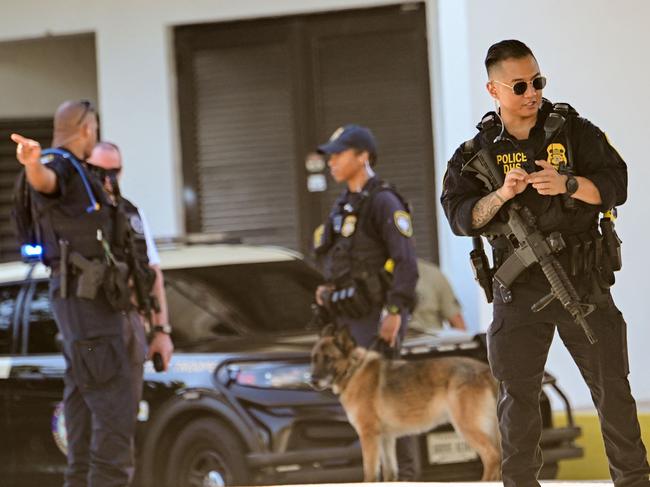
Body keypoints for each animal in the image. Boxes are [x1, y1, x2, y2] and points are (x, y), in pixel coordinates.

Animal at [308, 326, 502, 482]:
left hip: (467, 427)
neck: (353, 370)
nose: (312, 381)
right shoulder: (386, 439)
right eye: (314, 358)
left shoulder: (368, 436)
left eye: (328, 359)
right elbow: (389, 473)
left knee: (493, 457)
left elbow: (370, 474)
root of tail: (484, 369)